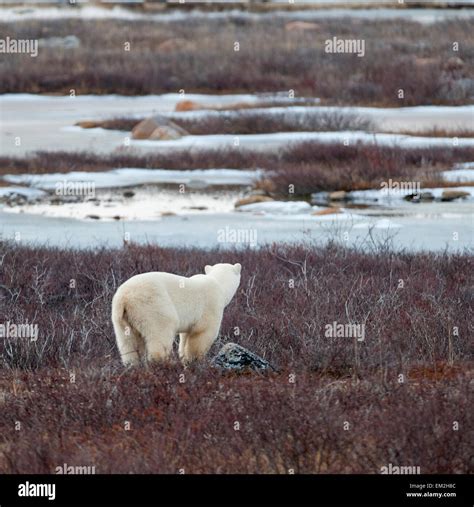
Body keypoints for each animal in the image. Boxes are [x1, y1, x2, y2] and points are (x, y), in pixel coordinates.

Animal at [109, 264, 239, 368]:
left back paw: (132, 365)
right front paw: (195, 361)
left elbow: (185, 337)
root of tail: (124, 298)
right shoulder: (211, 306)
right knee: (161, 332)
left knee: (128, 342)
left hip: (121, 317)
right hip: (152, 306)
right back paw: (163, 363)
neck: (218, 284)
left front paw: (185, 360)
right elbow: (202, 334)